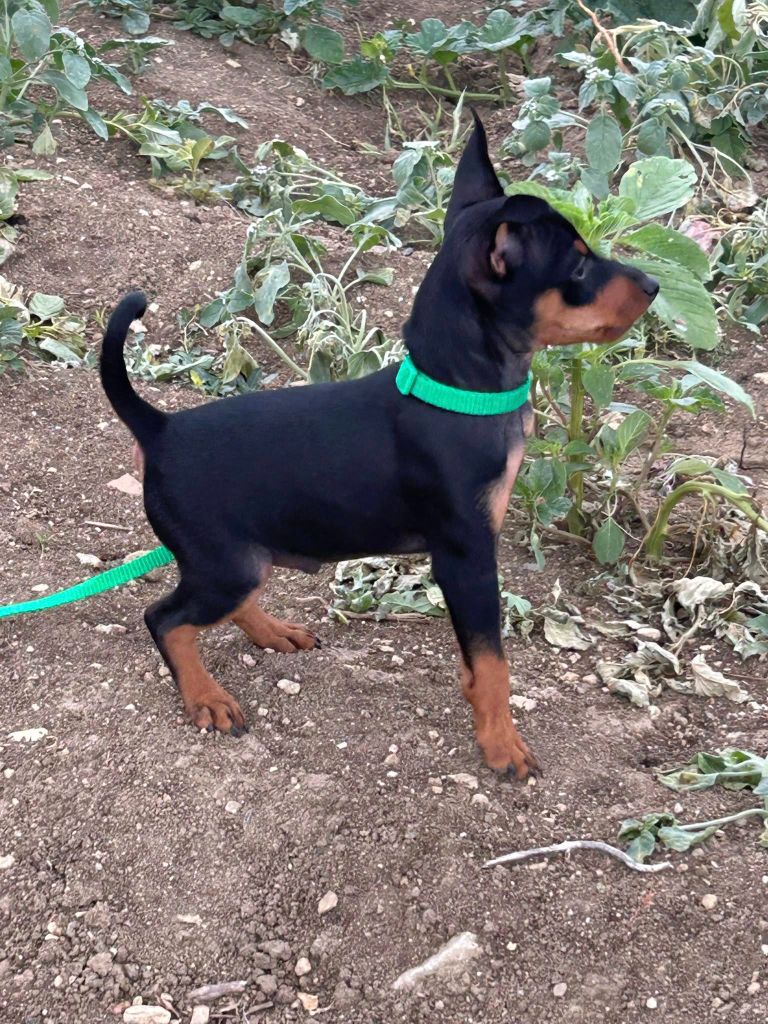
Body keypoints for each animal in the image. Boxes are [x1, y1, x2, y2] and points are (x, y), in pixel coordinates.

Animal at [100, 113, 657, 780]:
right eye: (576, 270)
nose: (654, 283)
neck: (455, 390)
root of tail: (159, 427)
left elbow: (479, 663)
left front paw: (484, 715)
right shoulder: (467, 555)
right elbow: (493, 660)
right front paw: (501, 742)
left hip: (239, 558)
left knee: (221, 603)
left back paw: (272, 632)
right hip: (225, 561)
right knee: (166, 620)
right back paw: (206, 696)